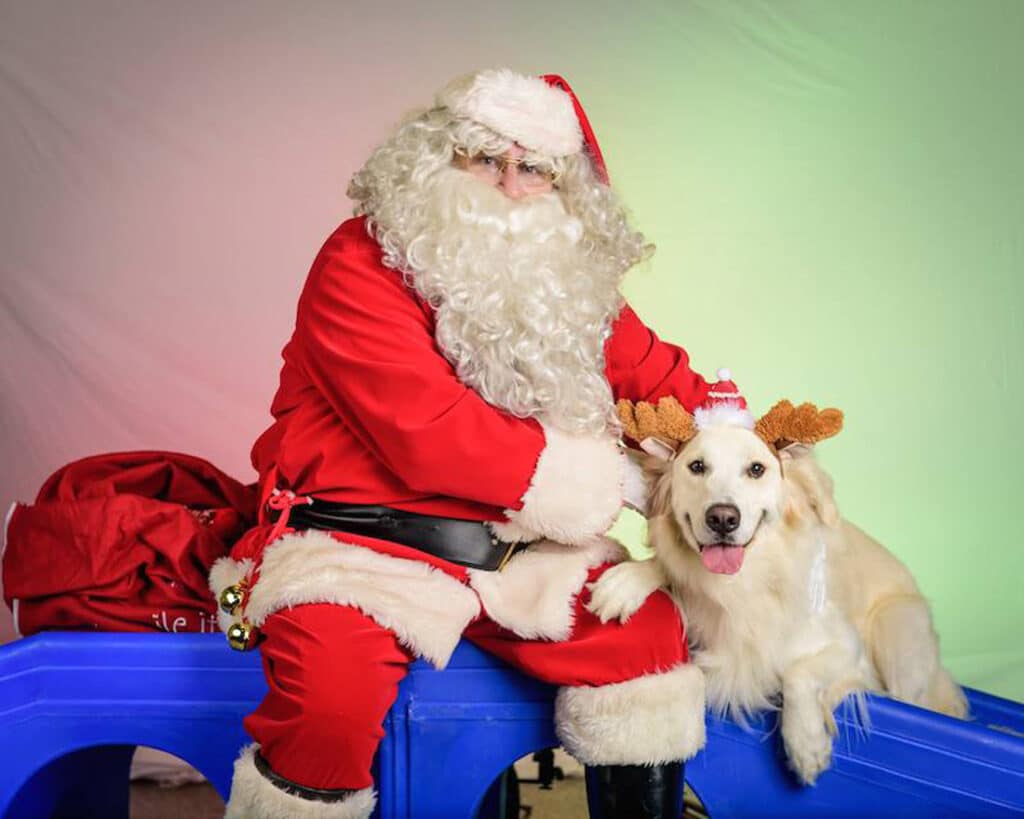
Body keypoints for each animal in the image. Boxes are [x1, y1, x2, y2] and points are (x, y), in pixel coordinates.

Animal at [589, 399, 962, 782]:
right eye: (696, 466)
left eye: (757, 469)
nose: (722, 518)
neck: (744, 582)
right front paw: (629, 580)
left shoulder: (848, 648)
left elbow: (798, 673)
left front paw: (807, 745)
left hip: (896, 631)